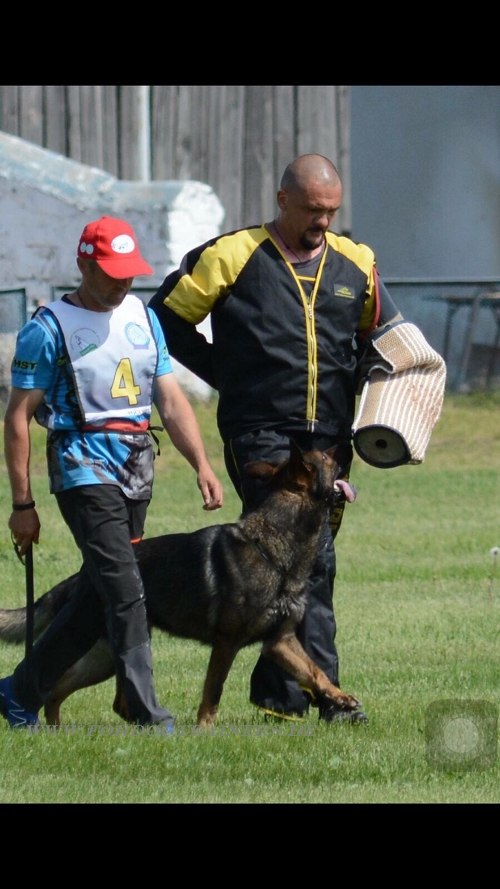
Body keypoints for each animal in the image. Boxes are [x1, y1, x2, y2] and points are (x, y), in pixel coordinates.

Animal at [0, 444, 362, 728]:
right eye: (326, 457)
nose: (347, 445)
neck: (275, 549)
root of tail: (83, 575)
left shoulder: (280, 641)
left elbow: (316, 672)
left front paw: (341, 698)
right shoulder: (227, 643)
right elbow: (213, 690)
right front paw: (205, 730)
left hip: (103, 658)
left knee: (82, 694)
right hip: (91, 644)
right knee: (57, 684)